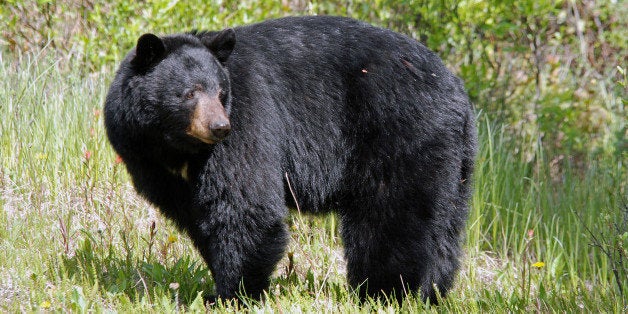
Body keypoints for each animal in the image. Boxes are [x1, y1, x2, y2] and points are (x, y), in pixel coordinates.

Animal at [104, 15, 476, 304]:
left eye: (221, 93)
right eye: (190, 93)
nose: (220, 127)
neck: (176, 146)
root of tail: (457, 91)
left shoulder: (249, 119)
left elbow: (245, 205)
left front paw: (231, 294)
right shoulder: (149, 160)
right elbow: (197, 215)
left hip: (400, 135)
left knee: (393, 217)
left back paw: (385, 292)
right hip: (455, 160)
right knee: (444, 228)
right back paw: (431, 292)